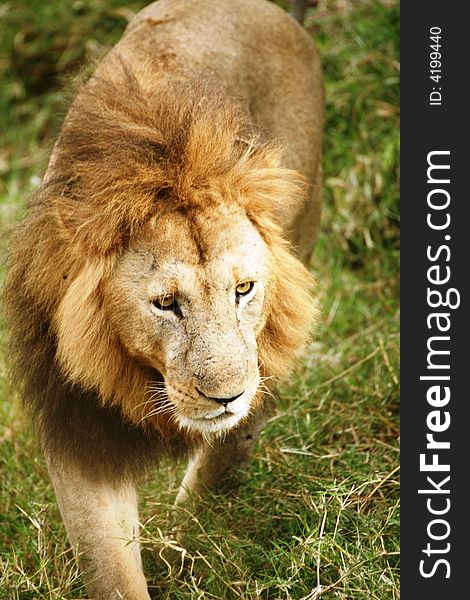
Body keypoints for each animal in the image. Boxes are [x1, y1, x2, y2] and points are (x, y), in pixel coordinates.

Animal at [3, 1, 324, 596]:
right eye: (166, 303)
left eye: (244, 289)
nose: (225, 396)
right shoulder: (77, 424)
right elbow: (110, 565)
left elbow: (228, 447)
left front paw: (192, 537)